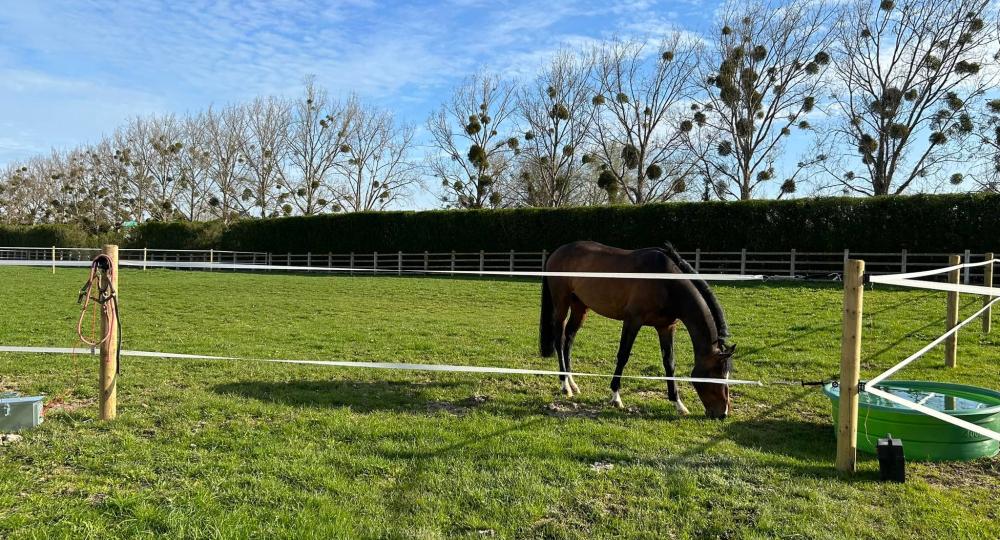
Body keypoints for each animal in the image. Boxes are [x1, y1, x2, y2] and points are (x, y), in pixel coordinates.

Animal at [540, 243, 736, 420]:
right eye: (716, 375)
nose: (723, 414)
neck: (666, 281)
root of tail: (558, 251)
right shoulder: (633, 321)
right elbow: (623, 356)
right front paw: (616, 398)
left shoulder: (666, 327)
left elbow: (669, 363)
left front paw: (678, 404)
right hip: (562, 304)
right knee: (559, 340)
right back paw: (565, 386)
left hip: (580, 307)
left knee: (569, 339)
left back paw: (573, 383)